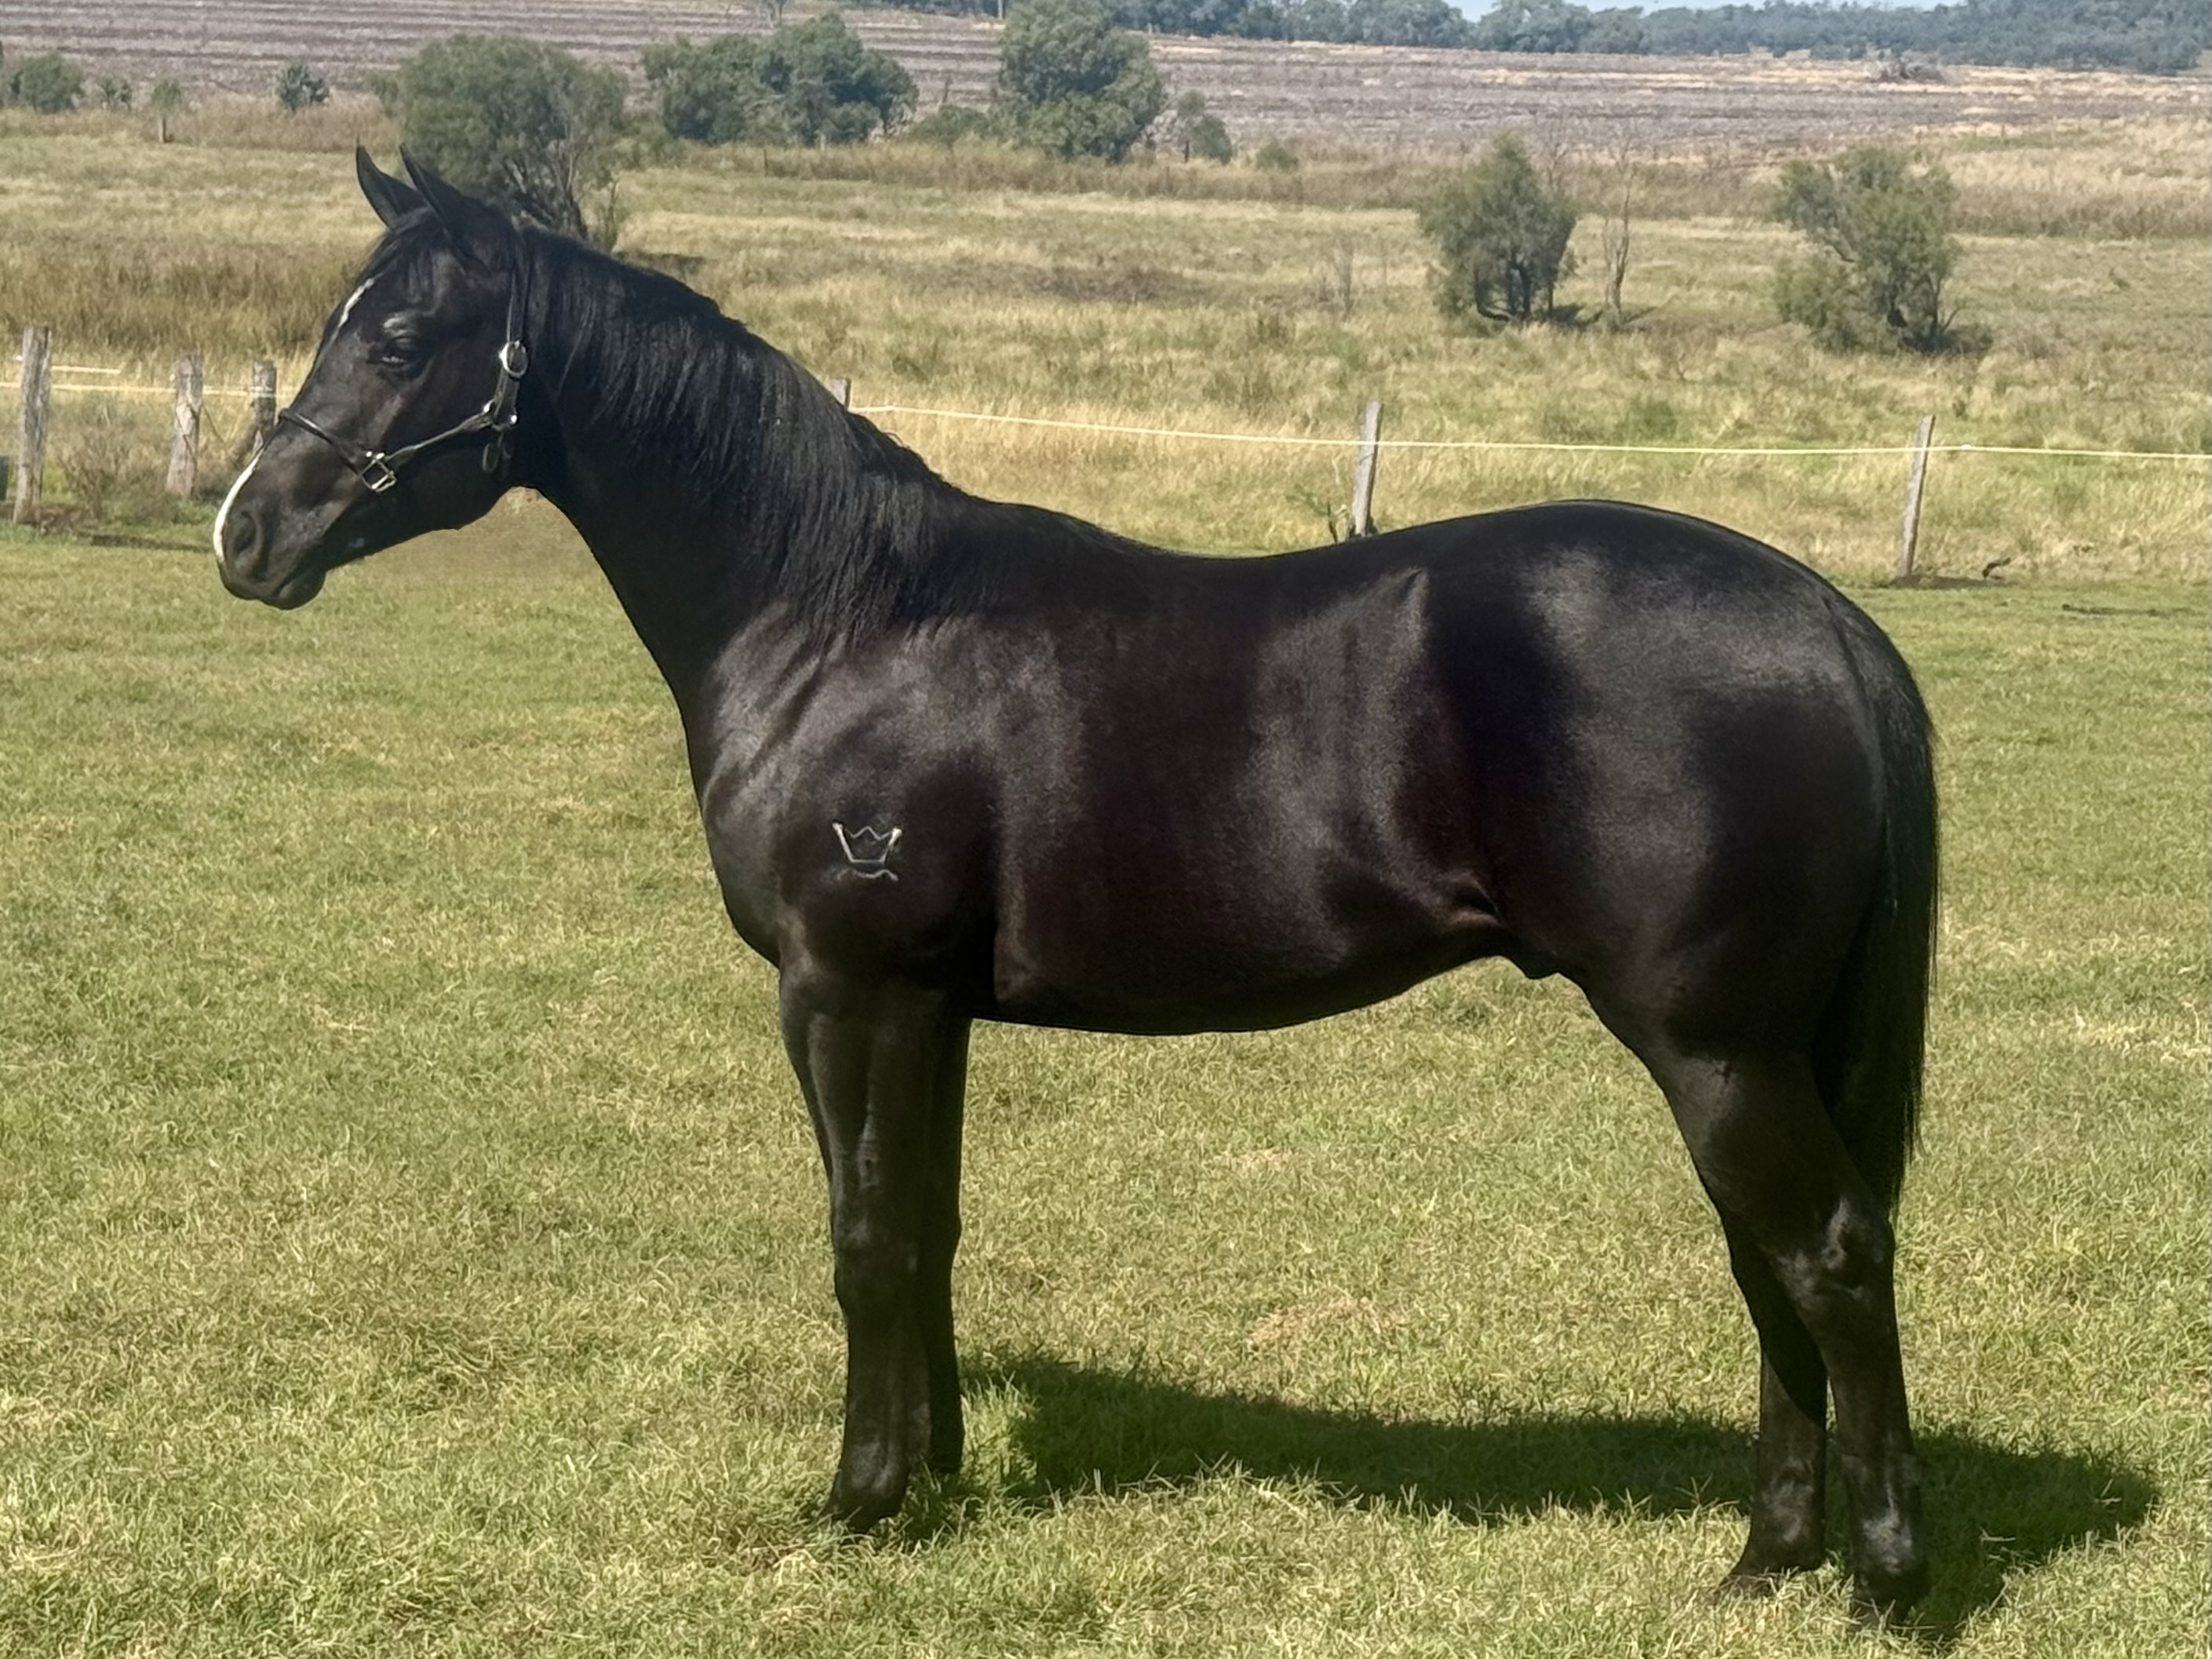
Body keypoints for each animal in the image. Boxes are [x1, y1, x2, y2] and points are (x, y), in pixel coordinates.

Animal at [216, 151, 1938, 1619]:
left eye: (402, 332)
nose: (247, 535)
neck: (838, 618)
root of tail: (1828, 620)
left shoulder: (844, 992)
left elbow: (862, 1234)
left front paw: (856, 1501)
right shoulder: (930, 1009)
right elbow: (927, 1224)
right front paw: (936, 1477)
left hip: (1712, 1048)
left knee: (1827, 1254)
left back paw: (1876, 1574)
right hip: (1751, 1053)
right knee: (1768, 1265)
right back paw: (1763, 1559)